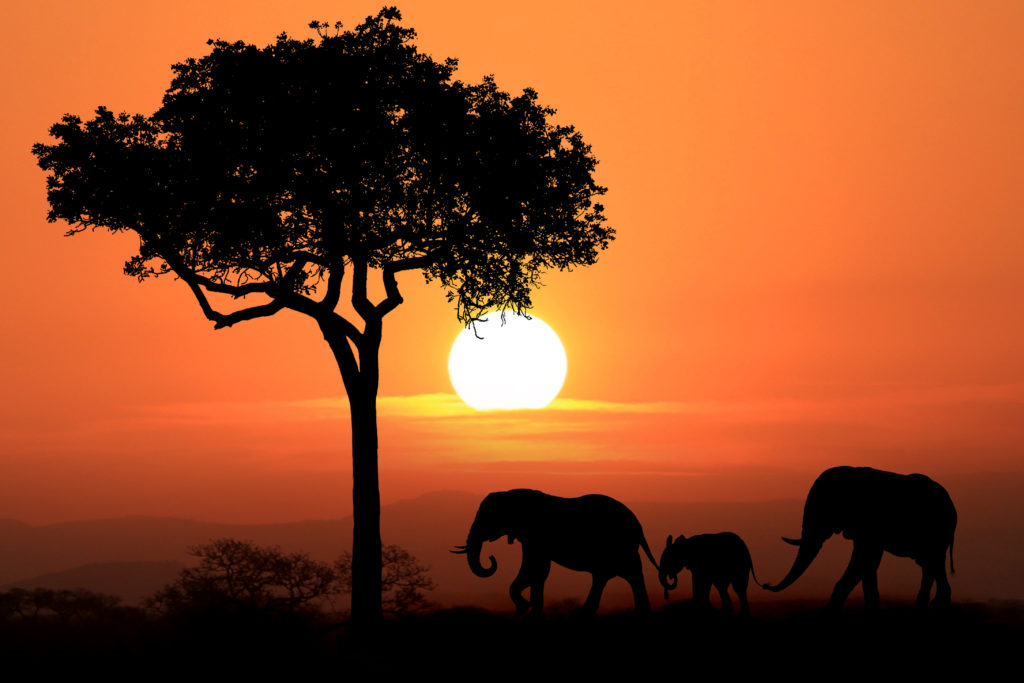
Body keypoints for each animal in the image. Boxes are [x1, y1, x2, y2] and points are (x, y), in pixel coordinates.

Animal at [452, 489, 659, 618]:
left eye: (486, 518)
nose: (491, 558)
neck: (512, 494)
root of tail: (638, 524)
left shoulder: (536, 535)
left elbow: (535, 569)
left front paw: (524, 609)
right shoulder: (530, 538)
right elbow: (538, 571)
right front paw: (531, 612)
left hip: (618, 545)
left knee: (623, 573)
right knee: (612, 575)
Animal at [765, 466, 954, 610]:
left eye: (824, 507)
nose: (766, 585)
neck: (853, 473)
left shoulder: (869, 523)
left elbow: (863, 559)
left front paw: (828, 612)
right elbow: (869, 563)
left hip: (938, 531)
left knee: (932, 562)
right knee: (930, 564)